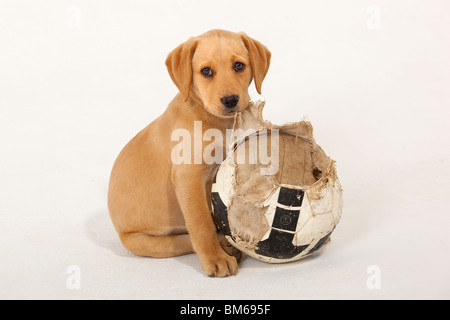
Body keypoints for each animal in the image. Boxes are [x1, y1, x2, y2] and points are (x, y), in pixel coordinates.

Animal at [108, 28, 270, 276]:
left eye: (239, 66)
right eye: (206, 71)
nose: (230, 100)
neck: (211, 119)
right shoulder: (188, 178)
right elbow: (202, 223)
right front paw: (215, 258)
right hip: (145, 242)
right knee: (183, 240)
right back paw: (223, 246)